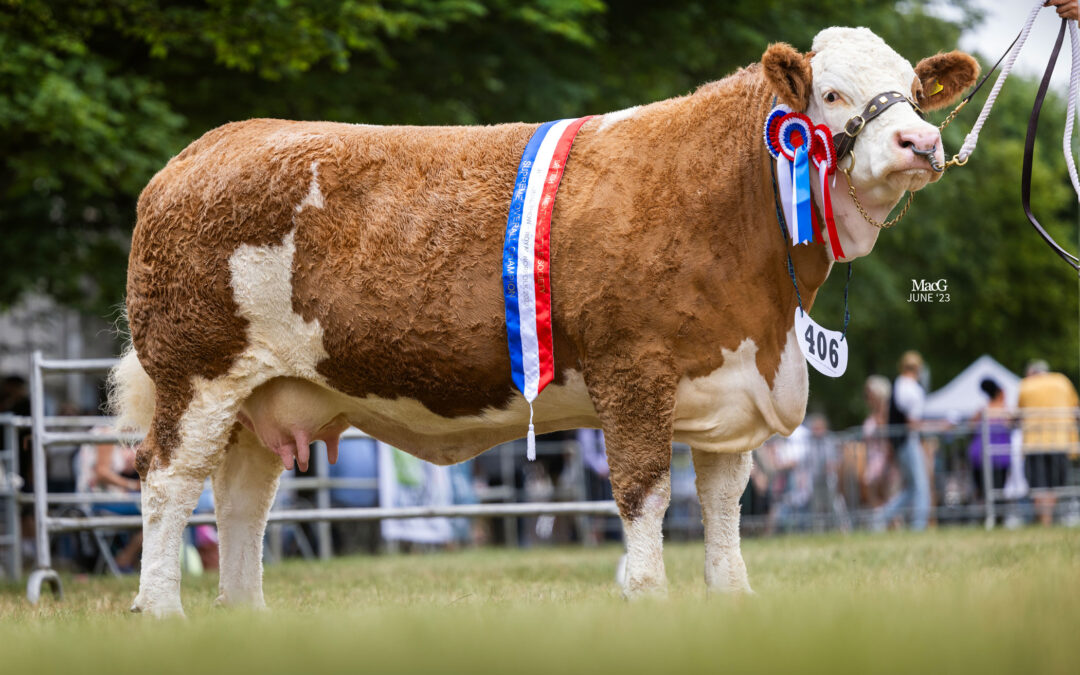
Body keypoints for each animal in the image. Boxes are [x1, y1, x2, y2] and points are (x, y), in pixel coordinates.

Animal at [111, 27, 980, 617]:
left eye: (911, 88)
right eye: (831, 94)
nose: (920, 141)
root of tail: (204, 150)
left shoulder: (733, 379)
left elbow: (724, 502)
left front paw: (731, 596)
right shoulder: (634, 368)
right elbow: (644, 492)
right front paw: (649, 595)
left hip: (264, 394)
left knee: (241, 498)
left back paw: (246, 615)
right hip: (196, 371)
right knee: (167, 481)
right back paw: (163, 610)